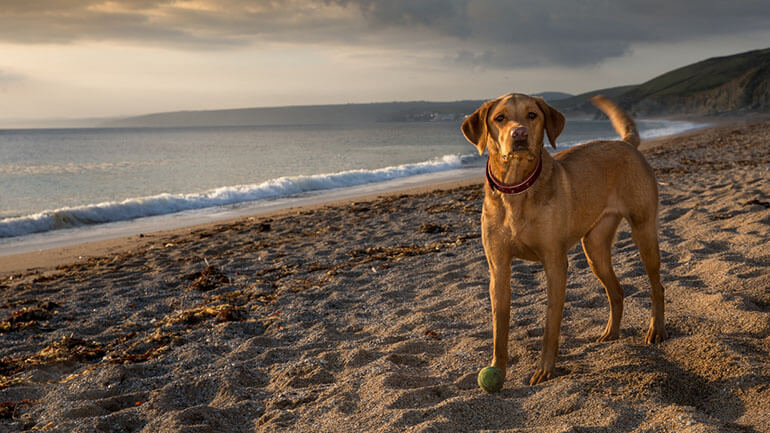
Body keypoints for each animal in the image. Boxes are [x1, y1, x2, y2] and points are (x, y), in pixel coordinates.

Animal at [462, 93, 664, 386]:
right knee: (616, 291)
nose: (519, 133)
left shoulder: (555, 264)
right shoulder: (498, 268)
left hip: (644, 231)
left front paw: (545, 370)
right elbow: (500, 328)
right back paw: (611, 332)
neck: (517, 189)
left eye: (532, 115)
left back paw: (656, 329)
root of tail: (625, 144)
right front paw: (496, 370)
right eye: (500, 118)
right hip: (594, 249)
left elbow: (551, 325)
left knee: (656, 286)